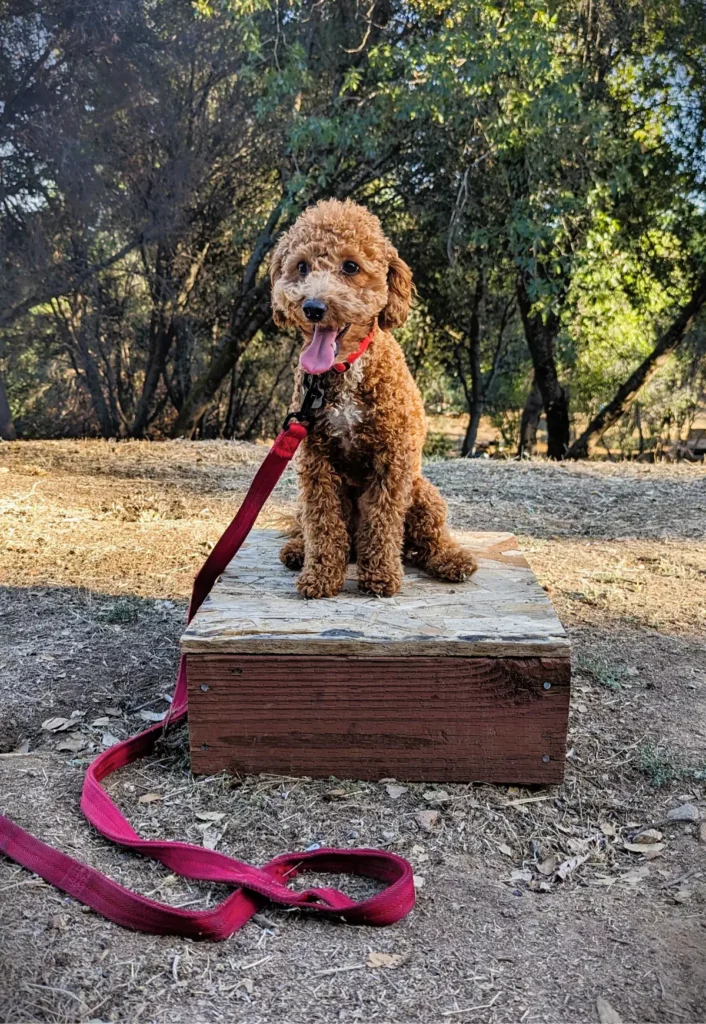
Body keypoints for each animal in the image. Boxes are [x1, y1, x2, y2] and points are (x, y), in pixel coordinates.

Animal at [266, 197, 475, 598]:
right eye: (301, 267)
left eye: (351, 266)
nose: (313, 307)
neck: (345, 369)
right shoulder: (316, 462)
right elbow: (323, 523)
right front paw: (320, 576)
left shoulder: (393, 460)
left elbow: (382, 521)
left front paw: (379, 577)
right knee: (323, 530)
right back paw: (299, 550)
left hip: (423, 494)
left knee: (428, 541)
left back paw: (451, 560)